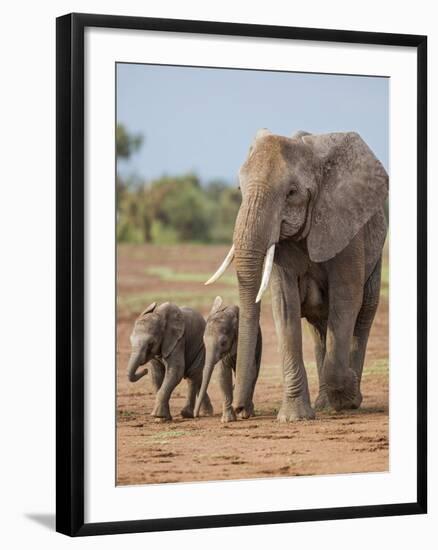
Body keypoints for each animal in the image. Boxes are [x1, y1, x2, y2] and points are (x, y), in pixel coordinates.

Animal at [205, 129, 386, 422]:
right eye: (240, 190)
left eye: (291, 193)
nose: (241, 410)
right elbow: (284, 306)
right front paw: (294, 418)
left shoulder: (346, 230)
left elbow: (347, 299)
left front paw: (347, 392)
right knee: (319, 326)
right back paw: (325, 403)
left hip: (376, 251)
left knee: (363, 314)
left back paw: (347, 398)